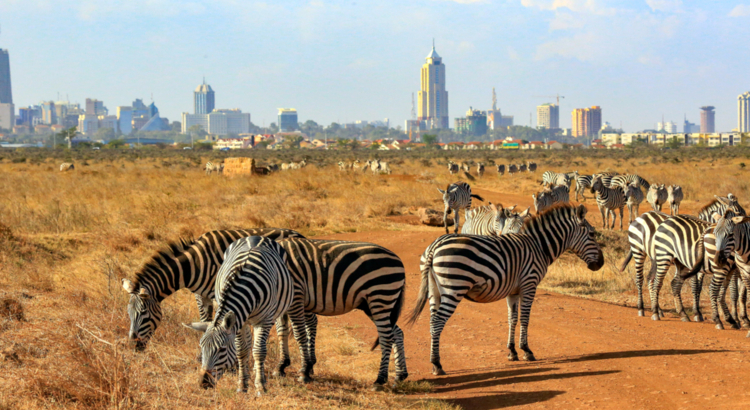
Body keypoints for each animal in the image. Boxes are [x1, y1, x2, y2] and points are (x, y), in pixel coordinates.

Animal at [121, 228, 305, 351]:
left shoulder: (219, 294)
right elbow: (205, 320)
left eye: (143, 313)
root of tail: (299, 234)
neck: (193, 265)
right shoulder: (201, 295)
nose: (133, 346)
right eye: (129, 313)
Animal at [184, 236, 295, 395]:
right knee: (248, 344)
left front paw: (260, 386)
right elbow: (241, 351)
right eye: (201, 347)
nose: (203, 383)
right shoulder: (238, 322)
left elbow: (259, 351)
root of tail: (255, 236)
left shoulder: (265, 320)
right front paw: (242, 385)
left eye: (222, 349)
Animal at [406, 204, 604, 375]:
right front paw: (526, 351)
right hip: (454, 288)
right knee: (438, 321)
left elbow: (512, 319)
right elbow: (525, 319)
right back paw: (437, 364)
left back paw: (434, 363)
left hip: (434, 290)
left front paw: (512, 352)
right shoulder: (529, 284)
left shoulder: (513, 291)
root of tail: (434, 246)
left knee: (432, 321)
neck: (539, 246)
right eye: (592, 234)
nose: (601, 264)